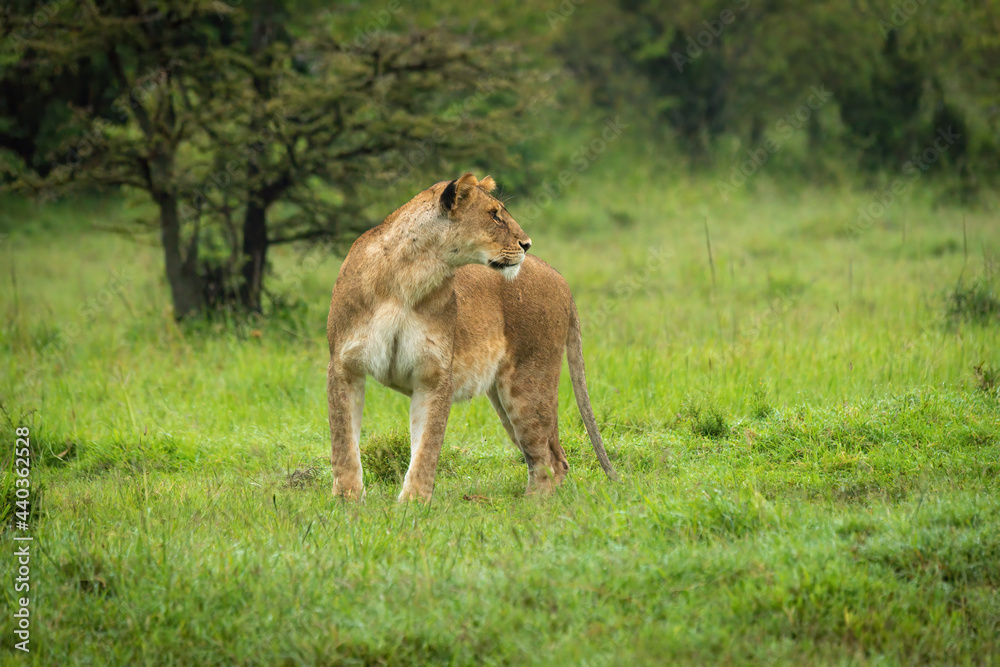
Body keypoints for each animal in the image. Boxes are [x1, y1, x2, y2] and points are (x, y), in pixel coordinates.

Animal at [326, 173, 617, 501]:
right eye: (494, 215)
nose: (527, 244)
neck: (409, 278)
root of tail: (560, 276)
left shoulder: (435, 375)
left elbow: (426, 447)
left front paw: (413, 503)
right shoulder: (344, 366)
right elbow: (343, 442)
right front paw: (347, 500)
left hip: (528, 382)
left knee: (550, 460)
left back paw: (531, 505)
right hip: (506, 397)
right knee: (553, 456)